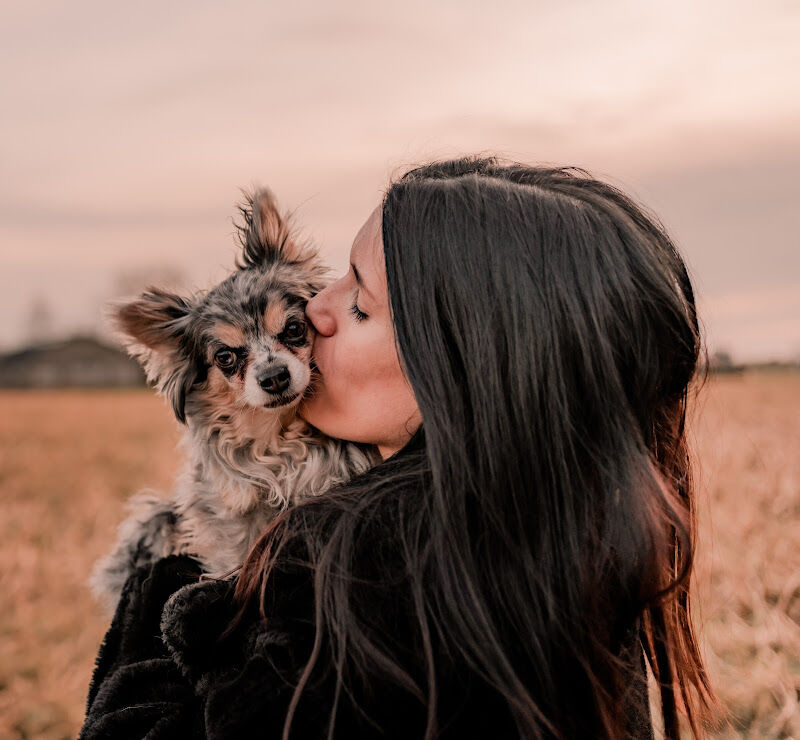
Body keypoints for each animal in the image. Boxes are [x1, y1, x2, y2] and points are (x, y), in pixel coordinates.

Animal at [92, 188, 380, 608]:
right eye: (226, 358)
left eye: (294, 329)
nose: (274, 377)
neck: (280, 435)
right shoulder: (231, 515)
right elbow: (237, 554)